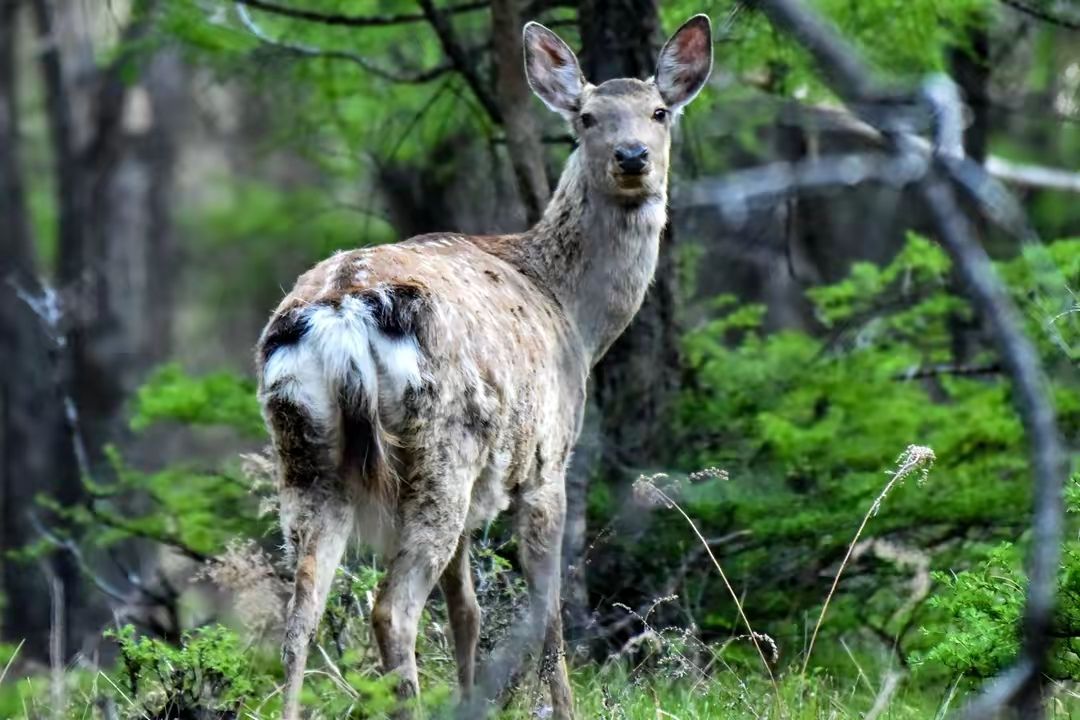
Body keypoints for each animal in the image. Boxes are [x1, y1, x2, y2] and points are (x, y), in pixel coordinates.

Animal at [256, 15, 712, 720]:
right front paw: (562, 704)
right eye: (586, 117)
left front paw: (473, 697)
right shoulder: (548, 458)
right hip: (443, 446)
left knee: (300, 611)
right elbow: (547, 609)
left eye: (659, 112)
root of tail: (341, 310)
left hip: (304, 451)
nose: (633, 156)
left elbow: (467, 611)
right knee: (392, 610)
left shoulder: (480, 495)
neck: (574, 314)